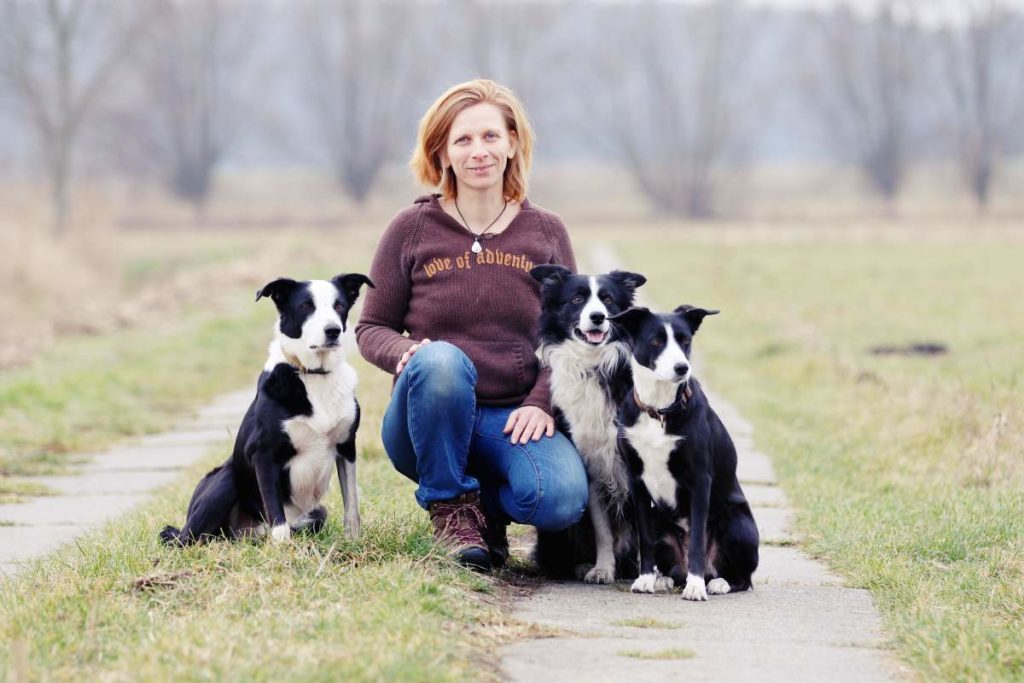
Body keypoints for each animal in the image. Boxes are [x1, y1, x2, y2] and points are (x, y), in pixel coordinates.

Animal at [163, 274, 376, 548]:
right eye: (305, 306)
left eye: (339, 305)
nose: (333, 331)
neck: (313, 375)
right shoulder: (264, 454)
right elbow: (277, 515)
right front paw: (284, 548)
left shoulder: (347, 446)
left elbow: (351, 503)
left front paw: (353, 541)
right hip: (225, 480)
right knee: (187, 539)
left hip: (317, 513)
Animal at [528, 264, 647, 585]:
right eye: (577, 299)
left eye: (608, 300)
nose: (598, 317)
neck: (595, 365)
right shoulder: (592, 468)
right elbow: (603, 531)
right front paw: (603, 569)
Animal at [610, 307, 757, 602]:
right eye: (656, 340)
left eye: (685, 340)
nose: (682, 368)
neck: (660, 410)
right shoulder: (636, 481)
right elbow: (644, 539)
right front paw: (645, 579)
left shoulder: (699, 480)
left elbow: (698, 539)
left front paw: (695, 587)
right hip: (660, 519)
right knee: (675, 568)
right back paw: (666, 579)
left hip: (737, 523)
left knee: (743, 578)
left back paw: (717, 583)